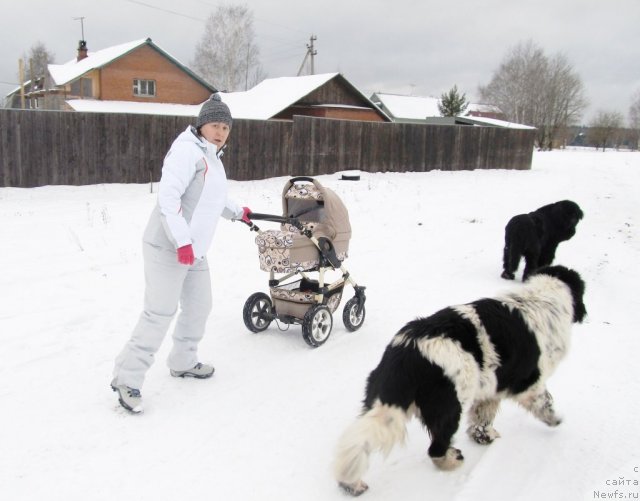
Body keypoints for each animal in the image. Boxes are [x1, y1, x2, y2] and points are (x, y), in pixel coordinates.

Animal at [332, 264, 588, 494]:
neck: (543, 299)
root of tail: (407, 354)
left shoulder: (491, 388)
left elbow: (483, 417)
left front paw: (483, 436)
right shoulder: (529, 382)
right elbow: (545, 402)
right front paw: (555, 420)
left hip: (380, 398)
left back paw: (351, 484)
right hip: (450, 406)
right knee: (436, 448)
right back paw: (452, 460)